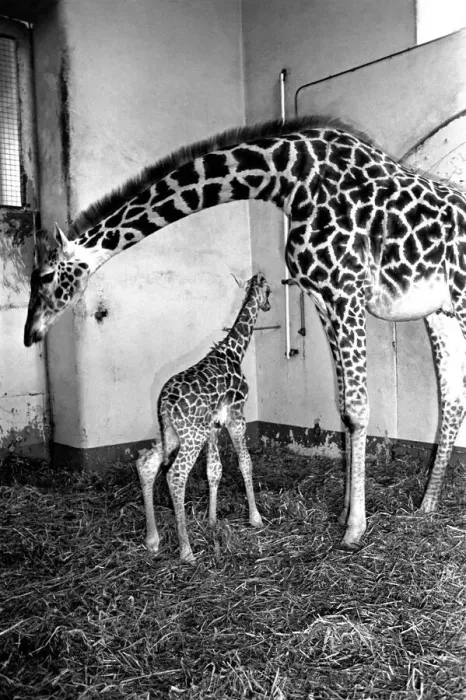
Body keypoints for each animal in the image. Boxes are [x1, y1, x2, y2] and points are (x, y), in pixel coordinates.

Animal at [136, 272, 270, 563]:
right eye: (270, 291)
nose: (267, 306)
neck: (234, 351)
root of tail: (164, 403)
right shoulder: (236, 416)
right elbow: (245, 463)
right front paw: (255, 518)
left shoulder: (213, 426)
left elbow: (214, 471)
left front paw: (212, 520)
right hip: (191, 436)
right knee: (175, 475)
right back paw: (186, 551)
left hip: (174, 433)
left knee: (147, 463)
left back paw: (153, 540)